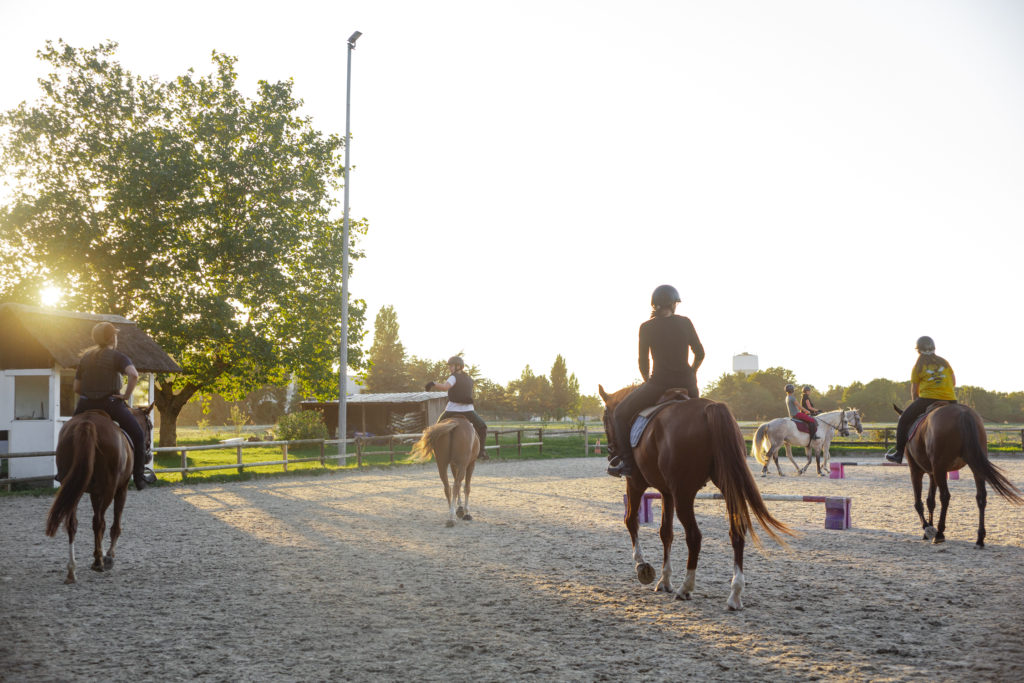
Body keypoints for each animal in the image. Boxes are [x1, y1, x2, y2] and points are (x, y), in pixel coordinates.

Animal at [45, 404, 154, 584]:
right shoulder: (121, 488)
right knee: (99, 522)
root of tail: (88, 423)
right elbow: (115, 525)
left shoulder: (95, 493)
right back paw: (99, 562)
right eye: (150, 426)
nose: (149, 455)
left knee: (72, 524)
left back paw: (72, 570)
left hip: (74, 488)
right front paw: (108, 556)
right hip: (109, 488)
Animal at [599, 385, 792, 611]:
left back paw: (686, 588)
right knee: (737, 532)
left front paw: (642, 566)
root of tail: (710, 408)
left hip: (684, 494)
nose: (611, 453)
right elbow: (666, 533)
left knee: (694, 536)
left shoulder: (636, 483)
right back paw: (735, 594)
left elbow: (630, 520)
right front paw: (664, 581)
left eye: (605, 418)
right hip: (726, 487)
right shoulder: (667, 492)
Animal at [893, 402, 1022, 547]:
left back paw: (939, 533)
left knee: (945, 497)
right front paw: (927, 530)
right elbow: (930, 501)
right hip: (974, 466)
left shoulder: (916, 471)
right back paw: (980, 538)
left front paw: (927, 528)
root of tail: (963, 413)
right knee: (981, 497)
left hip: (940, 469)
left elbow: (919, 502)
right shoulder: (932, 473)